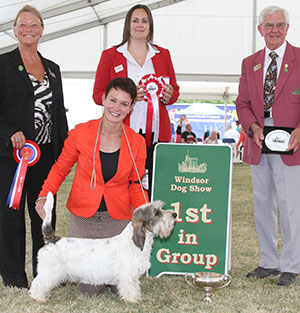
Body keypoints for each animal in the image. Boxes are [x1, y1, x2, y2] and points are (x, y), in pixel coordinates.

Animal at [29, 191, 177, 302]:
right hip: (49, 272)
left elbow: (135, 287)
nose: (175, 214)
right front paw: (132, 300)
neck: (133, 243)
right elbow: (129, 288)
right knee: (37, 283)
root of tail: (52, 240)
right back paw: (38, 297)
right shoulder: (126, 275)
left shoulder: (133, 276)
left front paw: (136, 297)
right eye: (156, 213)